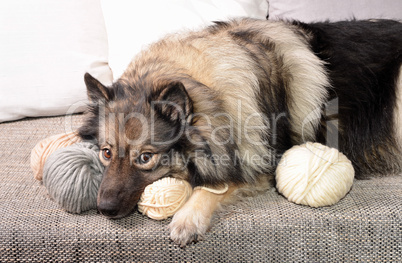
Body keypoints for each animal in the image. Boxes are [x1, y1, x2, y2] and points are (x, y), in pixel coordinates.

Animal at [78, 18, 402, 248]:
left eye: (145, 158)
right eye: (106, 152)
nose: (104, 209)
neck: (210, 92)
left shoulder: (261, 165)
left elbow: (216, 186)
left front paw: (188, 219)